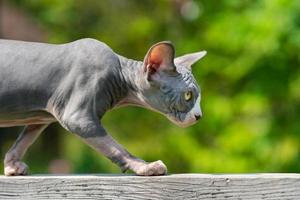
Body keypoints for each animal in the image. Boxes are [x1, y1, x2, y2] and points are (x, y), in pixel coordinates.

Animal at [0, 38, 206, 176]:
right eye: (188, 95)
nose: (199, 116)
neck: (120, 74)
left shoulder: (43, 114)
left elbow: (25, 139)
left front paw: (12, 165)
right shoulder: (78, 118)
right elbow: (117, 149)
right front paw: (145, 167)